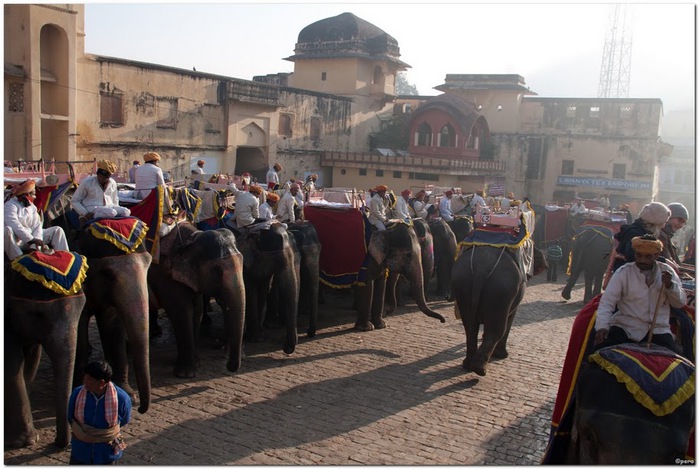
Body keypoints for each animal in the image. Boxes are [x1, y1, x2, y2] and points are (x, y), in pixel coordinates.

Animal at [4, 258, 87, 448]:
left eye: (83, 306)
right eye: (38, 314)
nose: (58, 443)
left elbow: (31, 360)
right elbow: (12, 361)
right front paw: (25, 441)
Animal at [149, 221, 247, 378]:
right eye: (217, 272)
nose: (228, 365)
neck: (192, 238)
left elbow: (197, 310)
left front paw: (196, 364)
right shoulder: (165, 276)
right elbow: (182, 311)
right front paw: (186, 374)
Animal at [234, 221, 300, 352]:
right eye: (276, 257)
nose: (284, 346)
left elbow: (264, 289)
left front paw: (259, 336)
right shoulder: (245, 266)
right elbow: (251, 291)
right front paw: (254, 339)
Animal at [452, 241, 548, 376]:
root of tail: (482, 266)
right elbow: (511, 317)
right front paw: (502, 356)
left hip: (463, 283)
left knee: (470, 326)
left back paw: (468, 364)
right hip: (500, 291)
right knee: (496, 330)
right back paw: (480, 369)